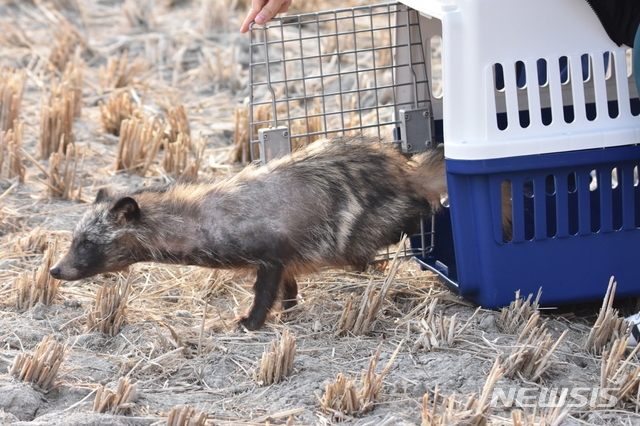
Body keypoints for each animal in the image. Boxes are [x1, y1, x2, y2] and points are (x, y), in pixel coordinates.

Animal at [51, 136, 444, 330]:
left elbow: (264, 295)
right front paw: (289, 313)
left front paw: (251, 323)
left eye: (87, 243)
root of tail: (403, 169)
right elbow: (288, 291)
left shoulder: (271, 255)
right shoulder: (286, 261)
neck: (206, 218)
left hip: (364, 230)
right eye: (74, 240)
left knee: (420, 212)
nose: (54, 270)